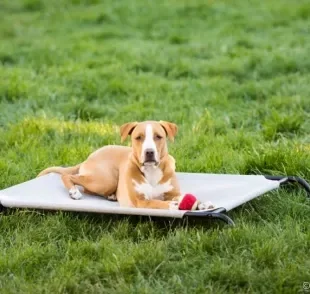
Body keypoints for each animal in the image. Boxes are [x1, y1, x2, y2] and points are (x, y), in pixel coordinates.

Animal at [37, 120, 205, 210]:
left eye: (158, 136)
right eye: (138, 137)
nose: (149, 152)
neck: (151, 170)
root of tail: (89, 156)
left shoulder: (173, 193)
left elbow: (180, 196)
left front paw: (203, 204)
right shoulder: (141, 202)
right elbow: (158, 202)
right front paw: (175, 206)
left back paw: (111, 196)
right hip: (105, 179)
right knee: (70, 177)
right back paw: (74, 191)